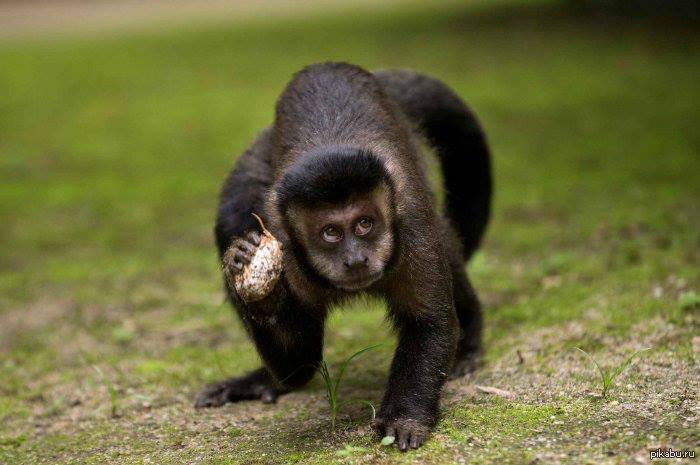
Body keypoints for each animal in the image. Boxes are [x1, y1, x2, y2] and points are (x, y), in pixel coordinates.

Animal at [197, 61, 492, 450]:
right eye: (331, 233)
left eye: (365, 224)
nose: (355, 259)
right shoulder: (286, 246)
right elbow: (300, 363)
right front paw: (255, 283)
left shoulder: (410, 219)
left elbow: (430, 322)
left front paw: (406, 417)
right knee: (232, 213)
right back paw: (264, 379)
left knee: (447, 245)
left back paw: (468, 343)